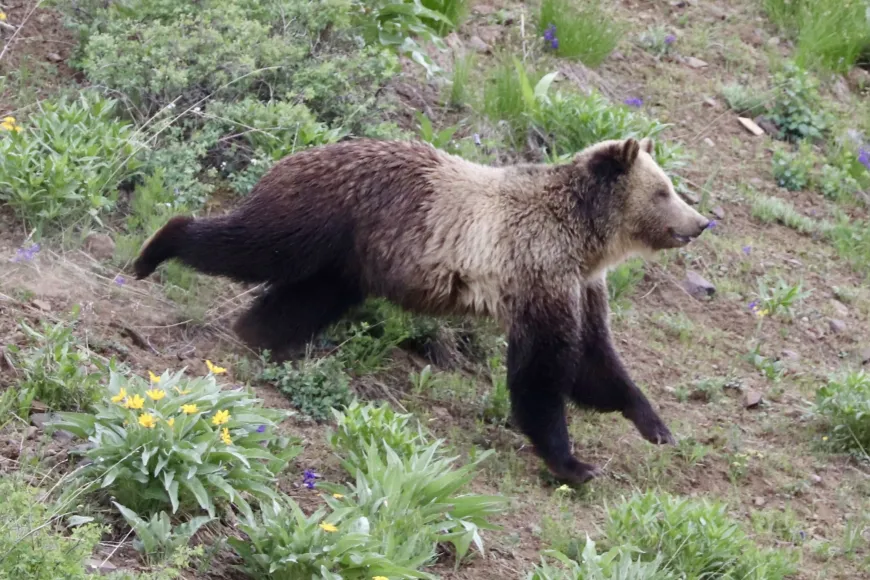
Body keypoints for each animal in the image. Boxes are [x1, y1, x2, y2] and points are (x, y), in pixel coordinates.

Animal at [133, 137, 710, 484]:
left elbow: (596, 363)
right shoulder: (537, 272)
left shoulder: (580, 287)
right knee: (251, 245)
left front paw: (655, 424)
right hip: (321, 220)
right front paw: (574, 462)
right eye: (664, 190)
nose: (701, 222)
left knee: (304, 298)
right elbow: (542, 374)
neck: (584, 240)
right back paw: (157, 248)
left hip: (348, 260)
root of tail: (298, 151)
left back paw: (263, 338)